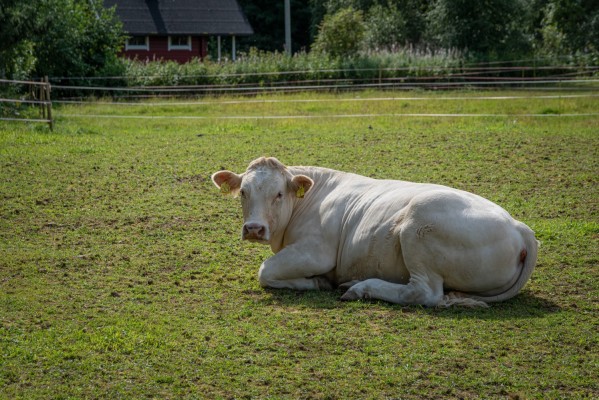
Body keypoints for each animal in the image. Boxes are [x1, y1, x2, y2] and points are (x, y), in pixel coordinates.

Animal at [212, 156, 540, 306]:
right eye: (243, 192)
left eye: (279, 194)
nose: (254, 229)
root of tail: (519, 226)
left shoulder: (316, 252)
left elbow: (265, 271)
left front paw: (316, 282)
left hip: (417, 227)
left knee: (424, 292)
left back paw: (361, 288)